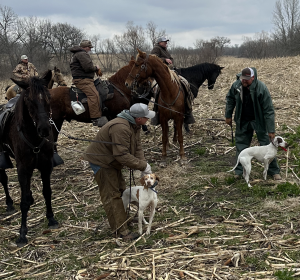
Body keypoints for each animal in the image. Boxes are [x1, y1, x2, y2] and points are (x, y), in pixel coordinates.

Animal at [0, 72, 58, 247]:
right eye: (29, 100)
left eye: (48, 97)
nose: (45, 129)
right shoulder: (23, 168)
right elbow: (23, 201)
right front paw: (22, 233)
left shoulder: (45, 165)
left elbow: (47, 191)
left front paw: (51, 218)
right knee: (4, 179)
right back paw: (9, 203)